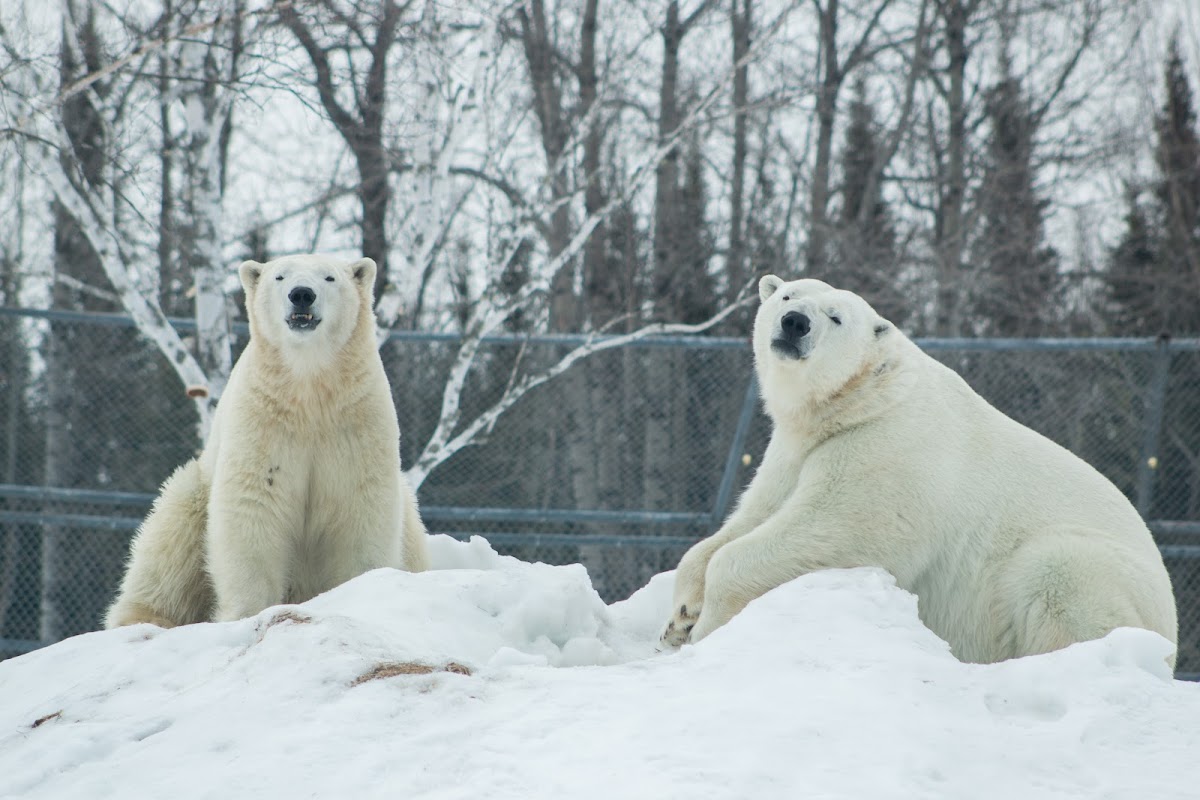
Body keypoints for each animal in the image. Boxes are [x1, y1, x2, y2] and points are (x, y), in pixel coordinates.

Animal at [105, 253, 429, 628]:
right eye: (280, 276)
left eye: (330, 278)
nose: (301, 295)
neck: (309, 390)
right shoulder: (263, 422)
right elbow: (254, 506)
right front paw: (248, 613)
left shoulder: (355, 423)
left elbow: (360, 507)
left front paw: (362, 593)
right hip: (194, 494)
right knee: (169, 543)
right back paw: (143, 619)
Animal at [661, 275, 1178, 665]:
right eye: (787, 296)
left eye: (836, 317)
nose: (795, 322)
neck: (864, 398)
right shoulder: (794, 451)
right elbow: (752, 515)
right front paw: (679, 616)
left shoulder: (882, 451)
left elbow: (834, 528)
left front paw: (705, 628)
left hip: (1094, 574)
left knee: (1057, 576)